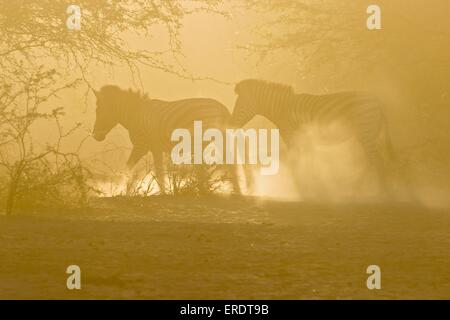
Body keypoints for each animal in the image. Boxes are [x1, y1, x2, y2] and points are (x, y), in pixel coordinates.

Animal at [91, 85, 243, 194]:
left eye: (98, 111)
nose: (95, 136)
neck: (135, 114)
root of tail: (222, 108)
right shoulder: (155, 148)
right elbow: (159, 172)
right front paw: (163, 191)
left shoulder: (141, 145)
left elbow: (129, 168)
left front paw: (120, 190)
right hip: (217, 141)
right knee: (226, 165)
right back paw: (230, 191)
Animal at [230, 78, 396, 198]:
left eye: (240, 105)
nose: (231, 123)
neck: (282, 110)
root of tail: (377, 100)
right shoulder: (304, 140)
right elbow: (309, 163)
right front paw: (316, 189)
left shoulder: (292, 138)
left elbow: (297, 164)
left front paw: (304, 191)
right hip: (368, 135)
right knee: (372, 162)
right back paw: (358, 190)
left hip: (366, 132)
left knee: (377, 162)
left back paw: (383, 194)